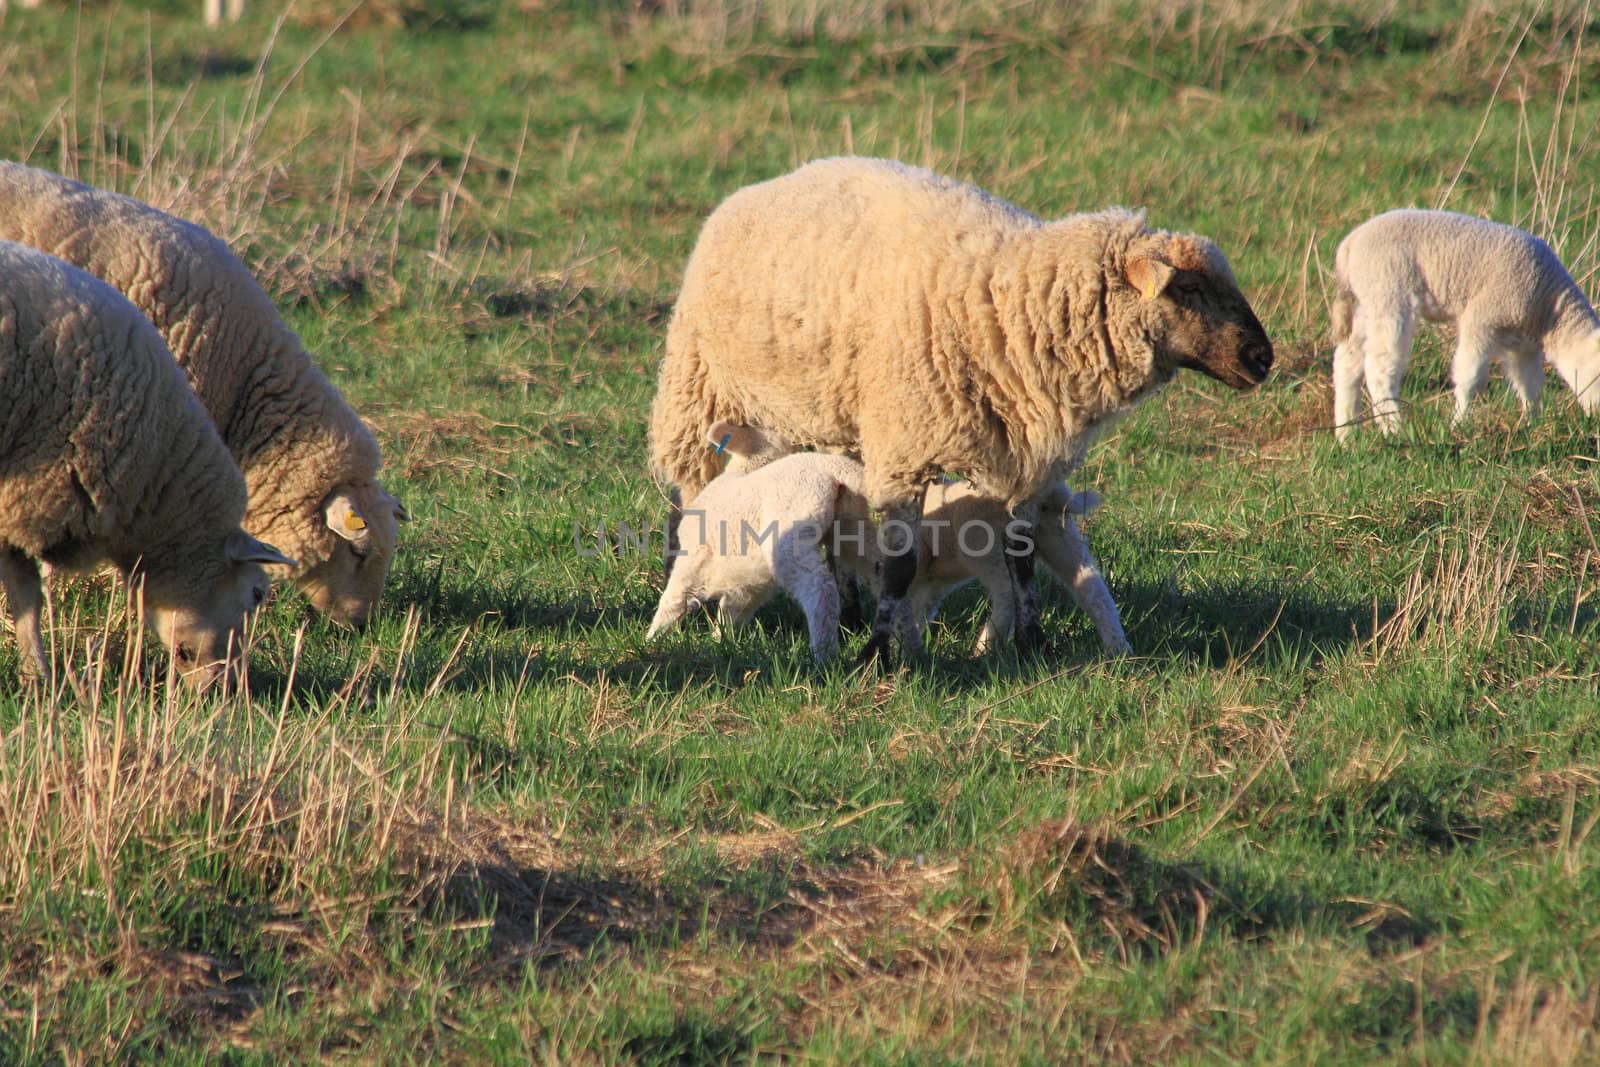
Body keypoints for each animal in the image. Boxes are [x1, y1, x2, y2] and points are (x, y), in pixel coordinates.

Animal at [649, 155, 1273, 662]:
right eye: (1186, 289)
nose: (1262, 358)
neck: (1009, 300)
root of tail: (770, 181)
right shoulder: (906, 449)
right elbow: (900, 566)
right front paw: (878, 655)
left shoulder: (1024, 458)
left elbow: (1020, 557)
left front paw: (1032, 643)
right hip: (701, 391)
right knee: (694, 492)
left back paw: (848, 612)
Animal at [1324, 206, 1600, 441]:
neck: (1549, 308)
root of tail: (1350, 245)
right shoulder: (1483, 318)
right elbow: (1471, 377)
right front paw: (1458, 425)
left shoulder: (1523, 345)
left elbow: (1530, 385)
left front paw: (1534, 424)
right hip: (1388, 292)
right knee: (1379, 369)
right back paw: (1395, 430)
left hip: (1365, 304)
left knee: (1347, 362)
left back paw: (1347, 435)